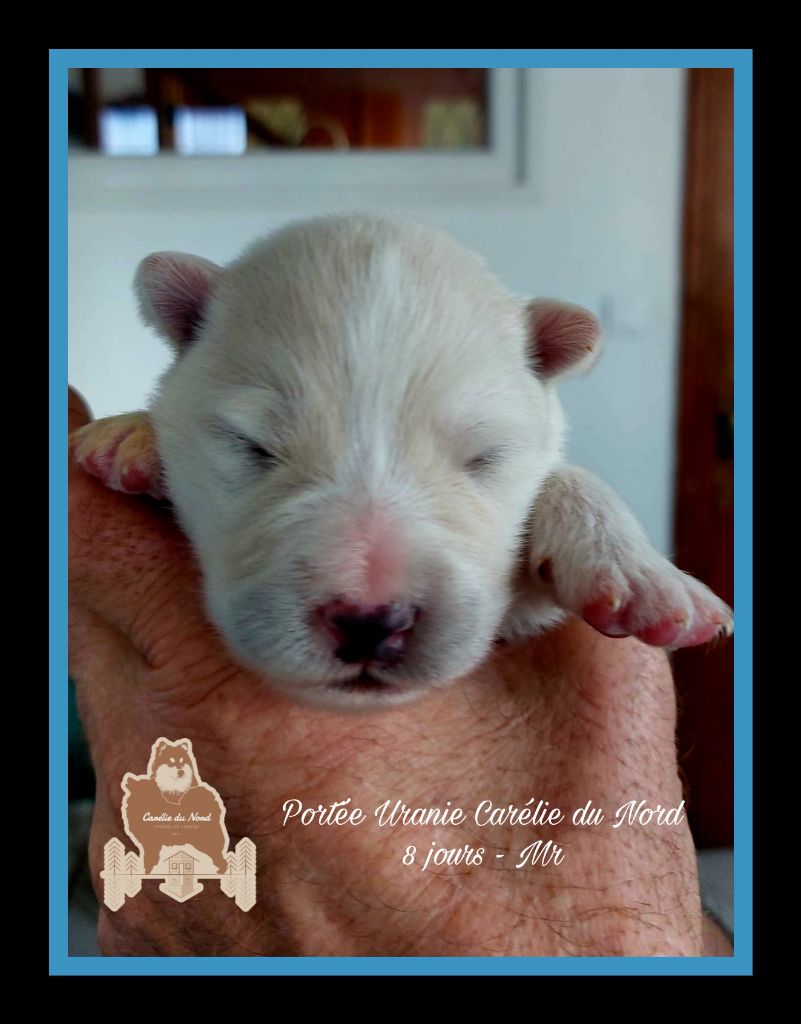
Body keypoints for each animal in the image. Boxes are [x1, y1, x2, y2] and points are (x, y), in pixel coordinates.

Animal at [70, 214, 733, 708]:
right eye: (252, 446)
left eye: (484, 457)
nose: (370, 622)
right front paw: (130, 434)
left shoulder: (518, 610)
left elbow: (565, 478)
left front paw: (642, 574)